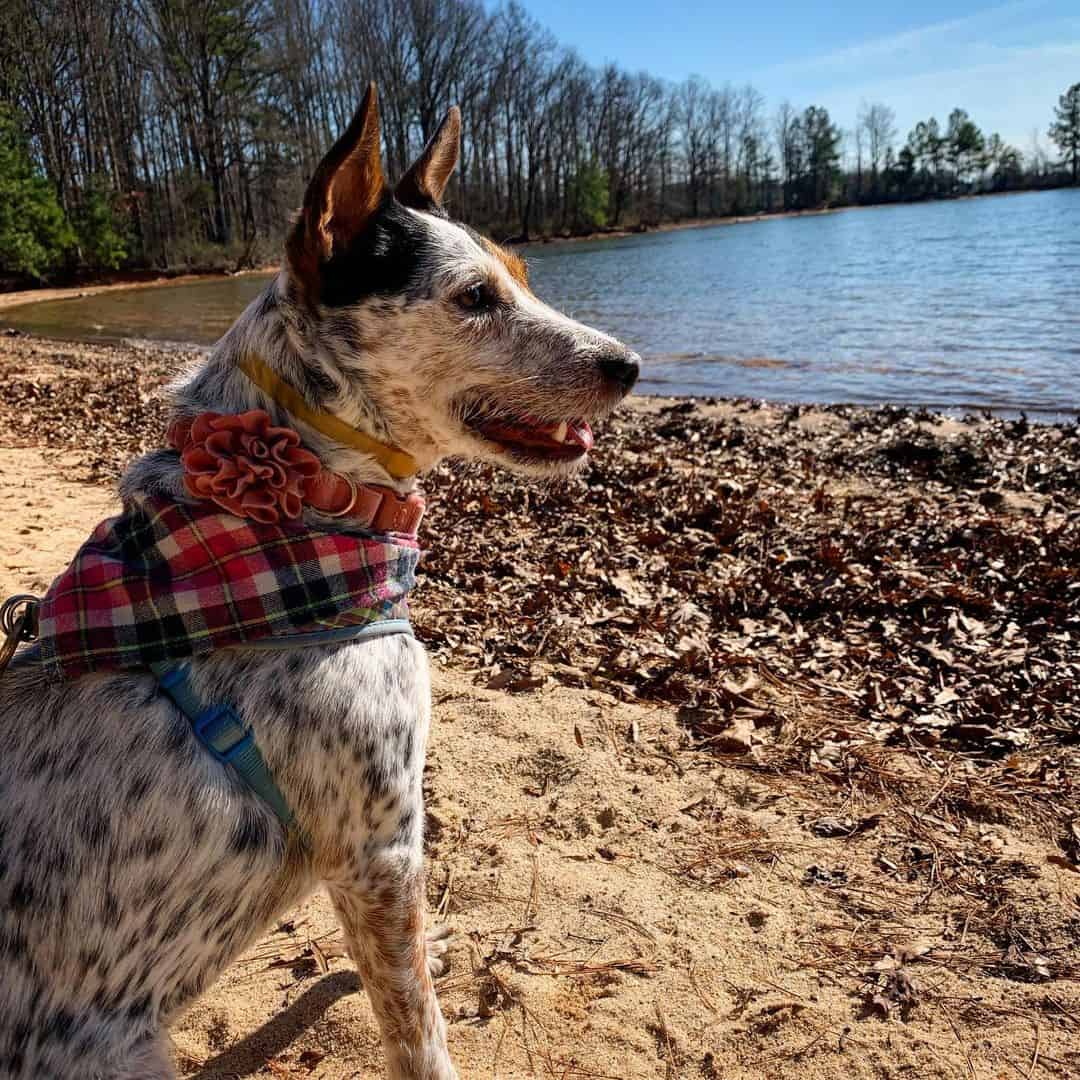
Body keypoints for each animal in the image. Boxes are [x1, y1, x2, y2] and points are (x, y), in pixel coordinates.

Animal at [0, 86, 635, 1080]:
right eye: (476, 298)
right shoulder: (381, 846)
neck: (292, 512)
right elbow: (415, 1025)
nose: (631, 366)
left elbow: (394, 968)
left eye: (525, 277)